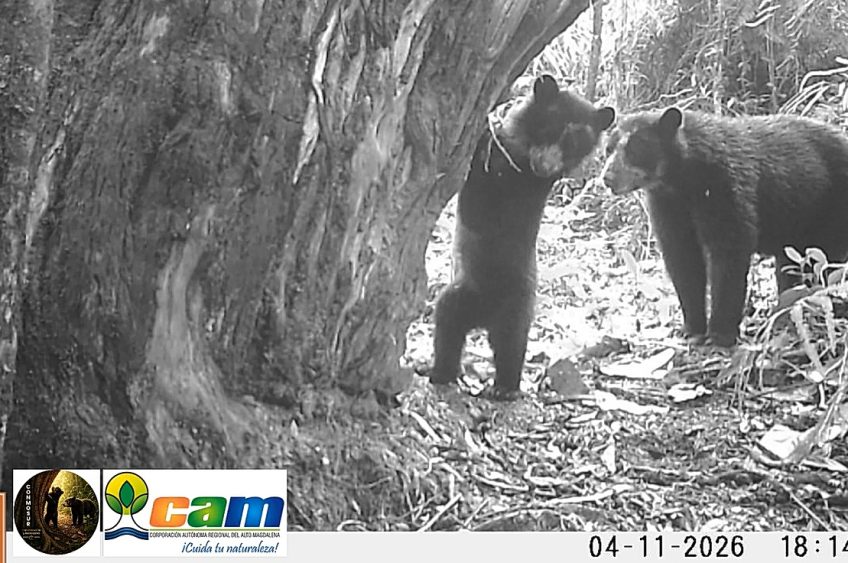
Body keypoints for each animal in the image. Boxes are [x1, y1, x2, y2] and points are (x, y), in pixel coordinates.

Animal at [429, 75, 615, 398]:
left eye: (575, 144)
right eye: (549, 127)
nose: (546, 166)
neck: (525, 159)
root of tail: (485, 316)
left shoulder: (512, 186)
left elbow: (481, 192)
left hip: (514, 304)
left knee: (508, 343)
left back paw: (501, 386)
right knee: (450, 326)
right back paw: (447, 373)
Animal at [601, 107, 848, 346]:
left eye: (635, 148)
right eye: (608, 149)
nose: (607, 178)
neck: (681, 180)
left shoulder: (723, 186)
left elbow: (729, 251)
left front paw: (721, 333)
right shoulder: (668, 206)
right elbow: (682, 259)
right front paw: (692, 328)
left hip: (831, 210)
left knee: (824, 264)